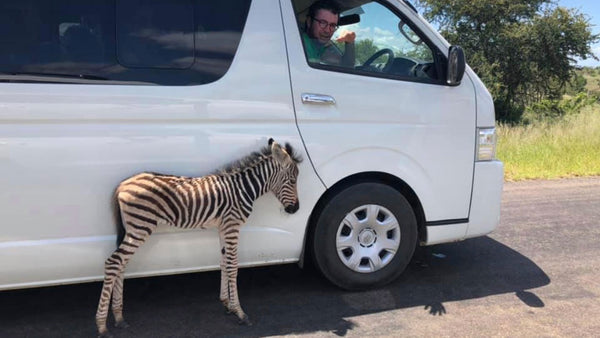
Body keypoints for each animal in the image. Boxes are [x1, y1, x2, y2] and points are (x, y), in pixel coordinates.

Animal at [96, 139, 302, 336]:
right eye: (293, 180)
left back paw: (119, 317)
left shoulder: (223, 228)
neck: (243, 189)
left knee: (121, 264)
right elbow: (233, 266)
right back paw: (102, 326)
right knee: (113, 262)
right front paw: (240, 312)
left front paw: (226, 304)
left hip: (133, 228)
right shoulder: (232, 225)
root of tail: (123, 184)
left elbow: (224, 262)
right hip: (141, 226)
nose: (296, 209)